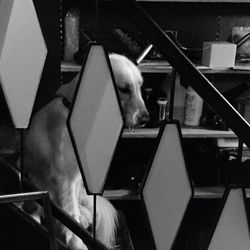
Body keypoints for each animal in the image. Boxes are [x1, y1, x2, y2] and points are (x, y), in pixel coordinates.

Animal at [22, 53, 149, 249]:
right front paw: (76, 243)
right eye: (124, 89)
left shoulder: (75, 177)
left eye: (139, 87)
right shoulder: (64, 178)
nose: (145, 119)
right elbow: (68, 213)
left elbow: (71, 210)